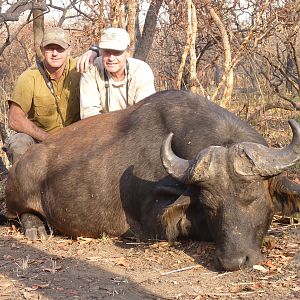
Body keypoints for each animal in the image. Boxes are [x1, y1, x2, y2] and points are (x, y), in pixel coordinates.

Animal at [4, 90, 300, 270]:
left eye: (254, 199)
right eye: (210, 206)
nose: (234, 261)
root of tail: (23, 161)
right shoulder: (153, 223)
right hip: (20, 194)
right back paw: (36, 228)